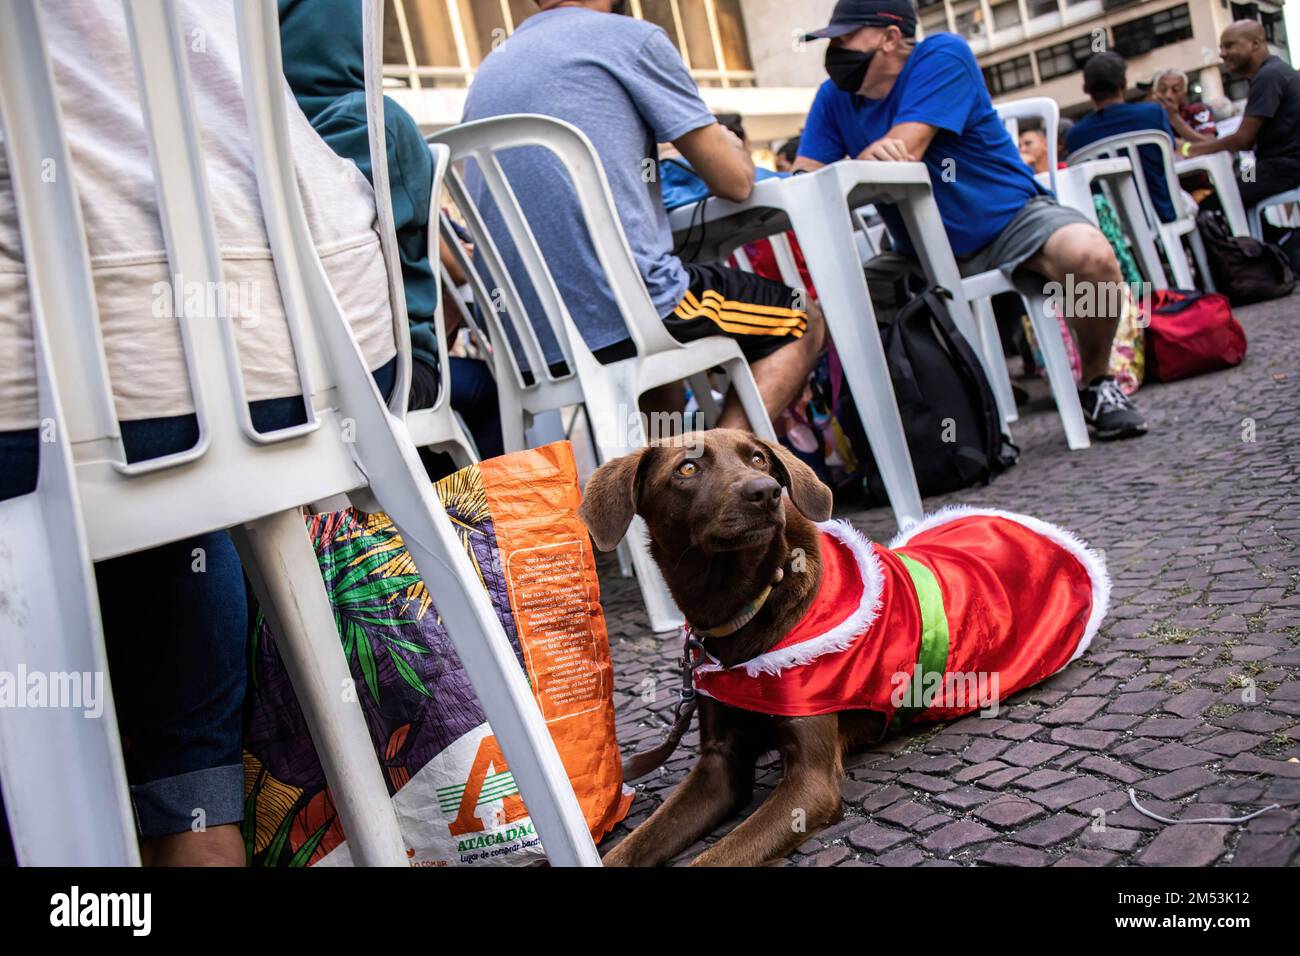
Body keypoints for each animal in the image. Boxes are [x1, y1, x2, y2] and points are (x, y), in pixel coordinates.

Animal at [579, 429, 883, 863]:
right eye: (687, 468)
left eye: (758, 459)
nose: (767, 491)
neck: (740, 607)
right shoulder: (719, 765)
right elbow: (633, 845)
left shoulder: (810, 783)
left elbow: (715, 858)